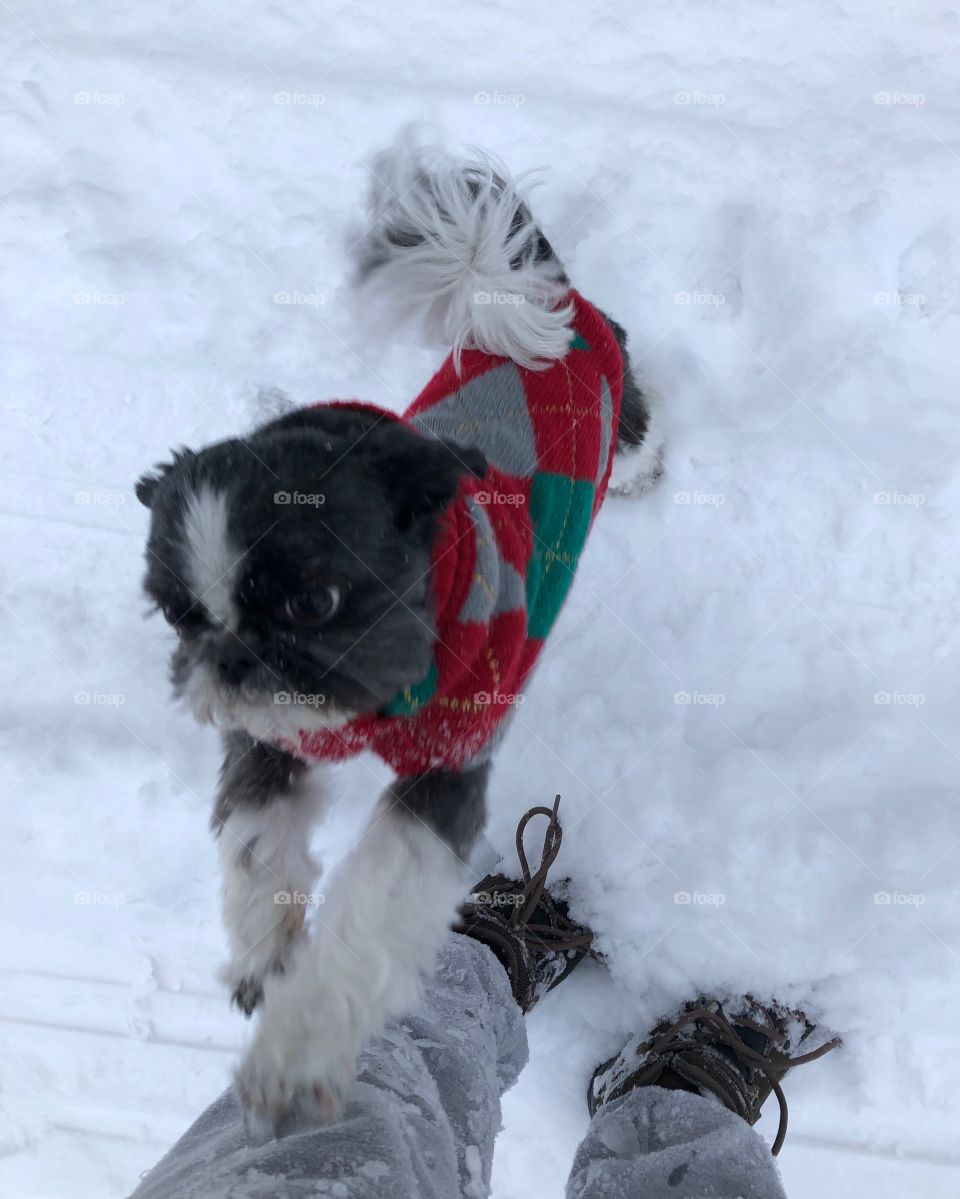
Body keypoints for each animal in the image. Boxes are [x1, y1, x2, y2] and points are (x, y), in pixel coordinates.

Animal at [134, 137, 661, 1122]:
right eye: (180, 611)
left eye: (314, 602)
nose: (233, 663)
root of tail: (513, 295)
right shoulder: (276, 738)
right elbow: (253, 835)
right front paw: (267, 948)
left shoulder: (446, 766)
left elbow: (373, 908)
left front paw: (298, 1046)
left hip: (620, 384)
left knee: (640, 422)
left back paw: (644, 468)